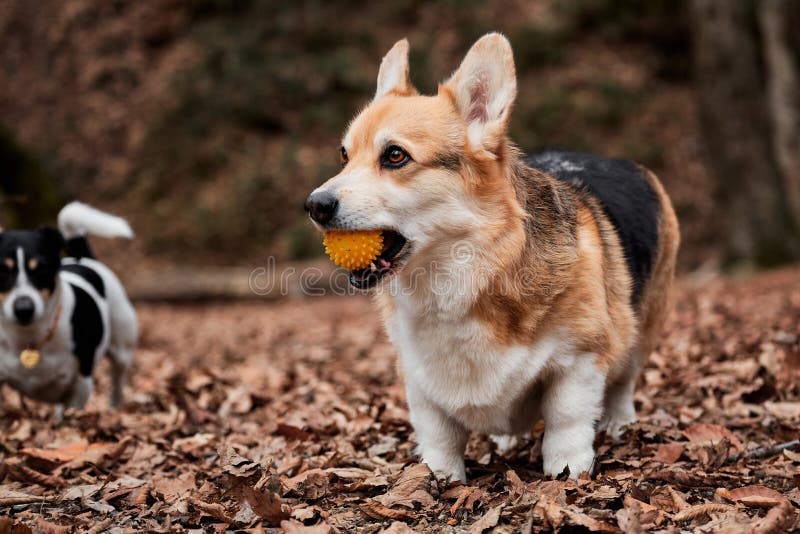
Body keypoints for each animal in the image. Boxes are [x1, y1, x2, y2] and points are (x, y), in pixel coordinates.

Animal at [0, 203, 137, 416]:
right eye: (2, 270)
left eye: (41, 269)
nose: (23, 308)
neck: (28, 338)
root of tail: (86, 259)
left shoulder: (81, 384)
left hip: (122, 349)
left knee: (118, 381)